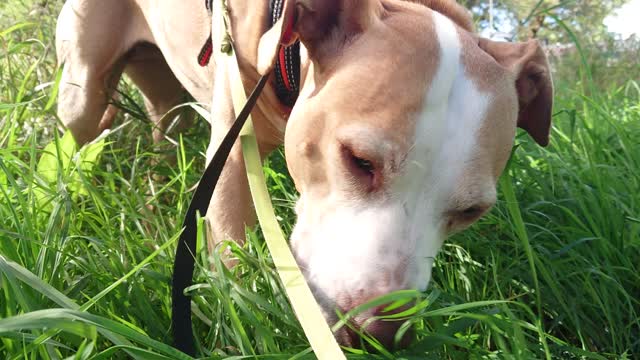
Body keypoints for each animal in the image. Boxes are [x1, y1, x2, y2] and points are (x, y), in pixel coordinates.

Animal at [57, 0, 552, 350]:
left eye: (471, 211)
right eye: (359, 160)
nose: (380, 335)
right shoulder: (232, 157)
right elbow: (234, 258)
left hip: (166, 107)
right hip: (82, 90)